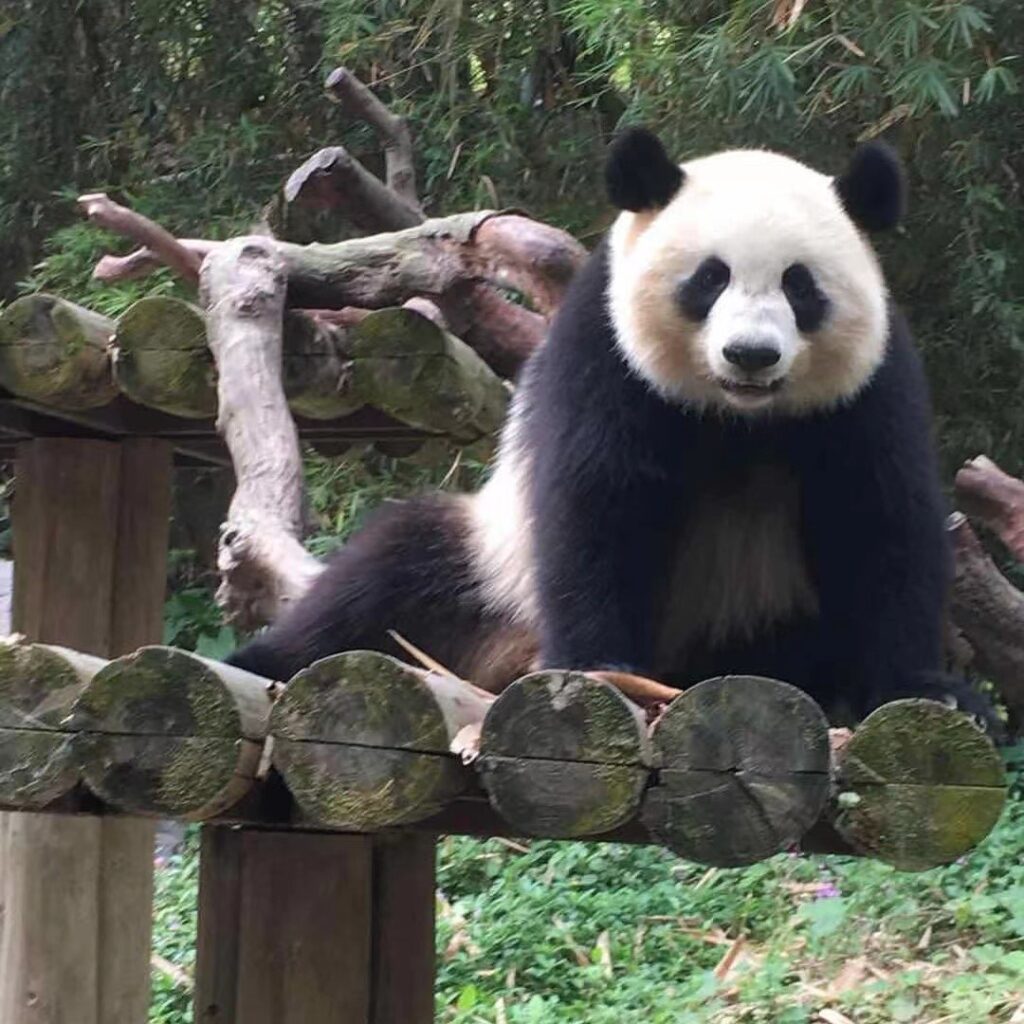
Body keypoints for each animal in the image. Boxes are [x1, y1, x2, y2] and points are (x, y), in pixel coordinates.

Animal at [227, 127, 996, 729]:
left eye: (800, 285)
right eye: (709, 279)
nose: (750, 355)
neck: (739, 417)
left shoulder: (867, 386)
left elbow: (879, 517)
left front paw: (933, 690)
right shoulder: (605, 353)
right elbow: (597, 501)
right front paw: (600, 668)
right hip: (491, 573)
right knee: (387, 579)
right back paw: (260, 662)